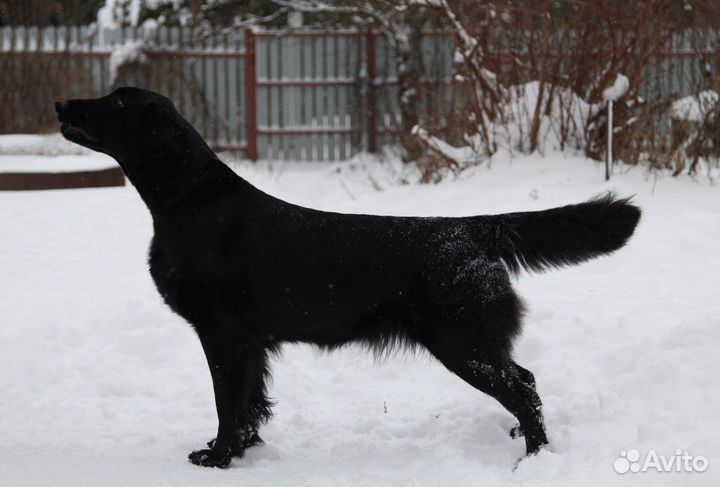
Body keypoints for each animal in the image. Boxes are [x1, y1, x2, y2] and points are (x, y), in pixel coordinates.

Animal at [57, 87, 640, 468]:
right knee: (527, 381)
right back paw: (520, 437)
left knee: (523, 388)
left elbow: (228, 404)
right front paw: (243, 451)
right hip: (474, 342)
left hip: (463, 343)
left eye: (116, 103)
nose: (62, 105)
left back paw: (534, 460)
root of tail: (473, 229)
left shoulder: (222, 334)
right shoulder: (251, 343)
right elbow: (249, 404)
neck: (190, 201)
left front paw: (218, 458)